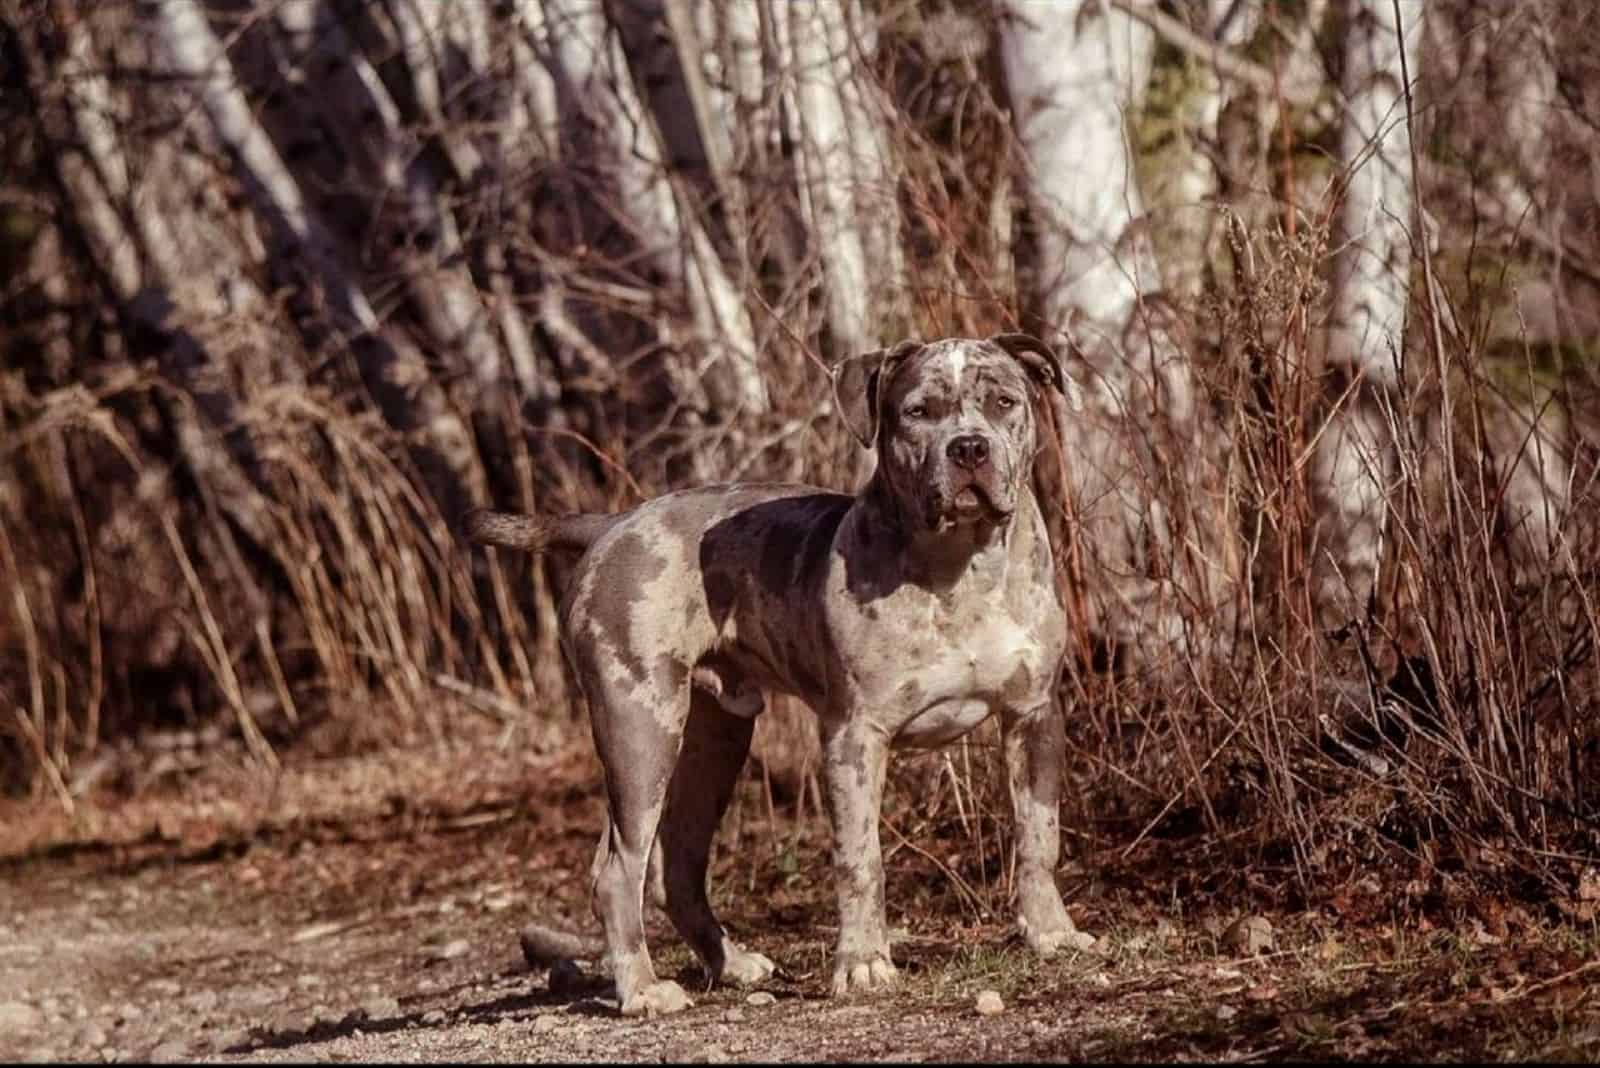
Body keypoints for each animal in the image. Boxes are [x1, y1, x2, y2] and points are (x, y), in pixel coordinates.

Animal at [467, 334, 1081, 1016]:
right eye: (918, 412)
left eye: (1004, 402)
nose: (969, 447)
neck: (961, 566)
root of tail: (613, 524)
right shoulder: (853, 737)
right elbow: (860, 858)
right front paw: (863, 964)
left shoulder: (1032, 716)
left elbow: (1038, 833)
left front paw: (1052, 933)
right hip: (640, 725)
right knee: (619, 869)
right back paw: (643, 988)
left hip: (715, 737)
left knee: (676, 865)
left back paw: (732, 963)